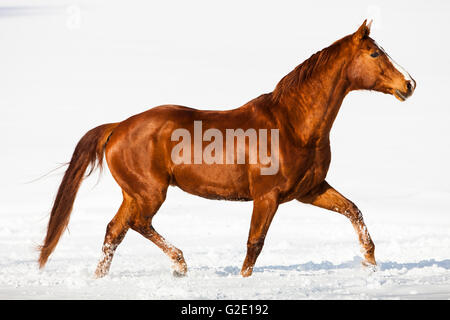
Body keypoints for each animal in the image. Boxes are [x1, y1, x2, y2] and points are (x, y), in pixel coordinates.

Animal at [37, 20, 414, 278]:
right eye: (375, 53)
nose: (409, 84)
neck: (293, 125)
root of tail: (118, 127)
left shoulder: (310, 190)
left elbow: (354, 212)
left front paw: (371, 263)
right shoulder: (267, 196)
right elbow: (255, 244)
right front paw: (243, 280)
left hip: (134, 193)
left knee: (115, 231)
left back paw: (101, 277)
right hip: (150, 192)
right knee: (137, 224)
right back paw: (180, 264)